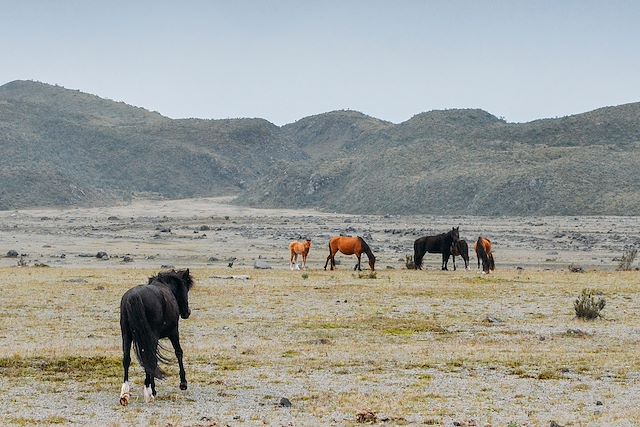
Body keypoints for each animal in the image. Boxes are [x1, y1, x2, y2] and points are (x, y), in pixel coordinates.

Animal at [117, 270, 192, 406]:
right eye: (186, 287)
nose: (187, 312)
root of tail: (134, 297)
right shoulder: (174, 332)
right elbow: (178, 352)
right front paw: (183, 383)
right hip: (151, 336)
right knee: (149, 358)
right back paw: (149, 392)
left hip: (126, 335)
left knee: (127, 359)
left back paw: (125, 394)